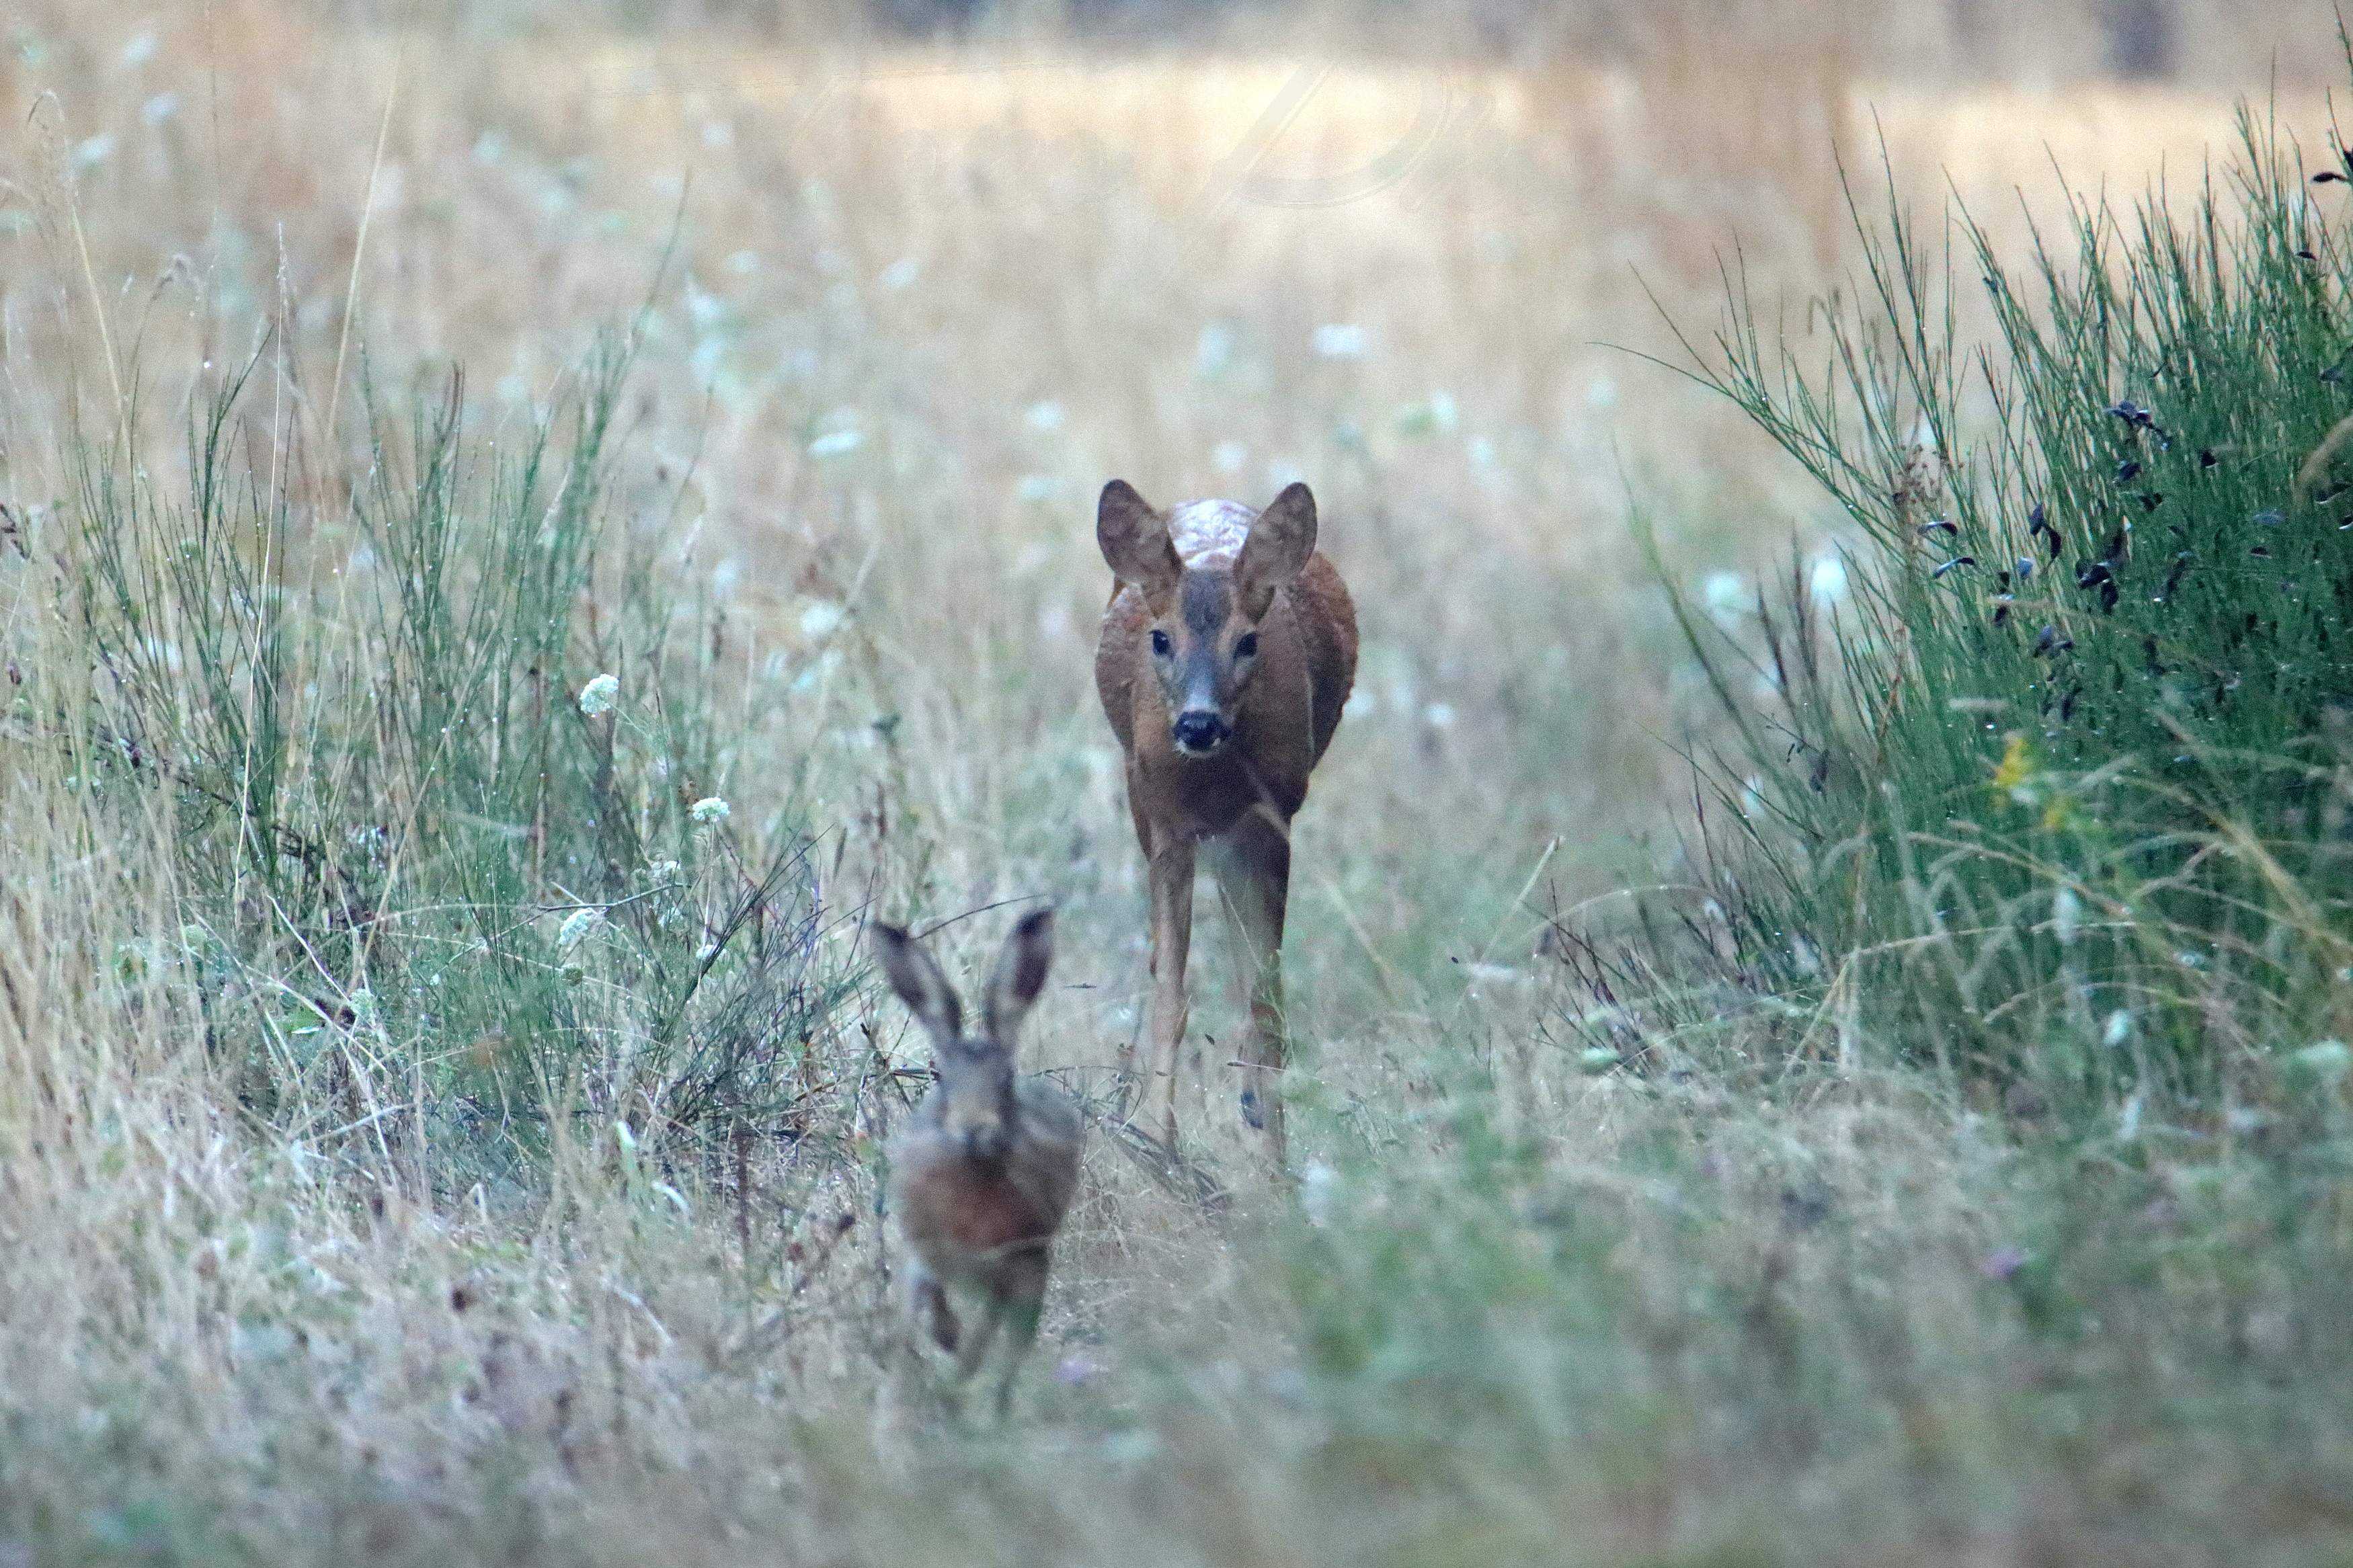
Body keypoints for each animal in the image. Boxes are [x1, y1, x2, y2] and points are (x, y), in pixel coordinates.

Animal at [875, 907, 1082, 1419]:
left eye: (1006, 1078)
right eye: (941, 1078)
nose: (975, 1129)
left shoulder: (1017, 1263)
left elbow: (988, 1337)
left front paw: (958, 1371)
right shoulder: (922, 1249)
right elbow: (930, 1300)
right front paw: (946, 1340)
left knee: (1005, 1349)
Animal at [1087, 484, 1355, 1170]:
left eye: (1248, 641)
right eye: (1160, 638)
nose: (1199, 724)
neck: (1212, 781)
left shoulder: (1273, 817)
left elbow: (1264, 1002)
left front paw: (1273, 1163)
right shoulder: (1164, 818)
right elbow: (1171, 995)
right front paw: (1158, 1144)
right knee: (1164, 961)